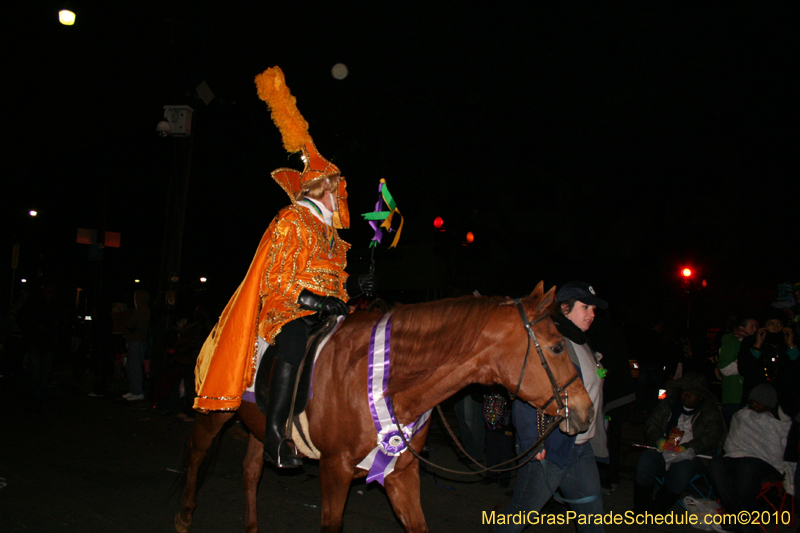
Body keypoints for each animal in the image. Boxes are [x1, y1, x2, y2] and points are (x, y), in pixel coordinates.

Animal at [178, 280, 596, 528]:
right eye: (557, 348)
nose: (586, 411)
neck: (387, 382)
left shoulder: (402, 472)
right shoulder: (334, 470)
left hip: (260, 426)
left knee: (251, 472)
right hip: (216, 411)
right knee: (196, 452)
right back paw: (184, 515)